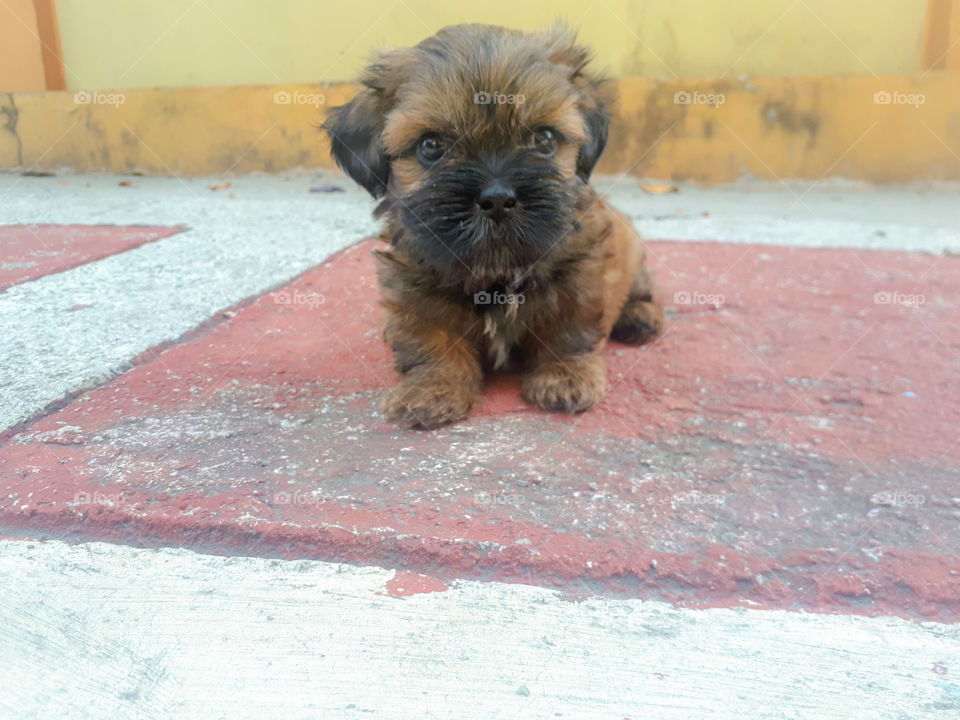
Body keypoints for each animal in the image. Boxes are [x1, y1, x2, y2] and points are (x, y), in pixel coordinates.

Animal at [326, 23, 664, 428]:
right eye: (431, 146)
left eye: (544, 139)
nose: (498, 198)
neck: (496, 270)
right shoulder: (415, 285)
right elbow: (430, 338)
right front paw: (432, 386)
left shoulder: (582, 273)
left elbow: (569, 329)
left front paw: (565, 374)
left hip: (634, 251)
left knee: (643, 290)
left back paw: (639, 317)